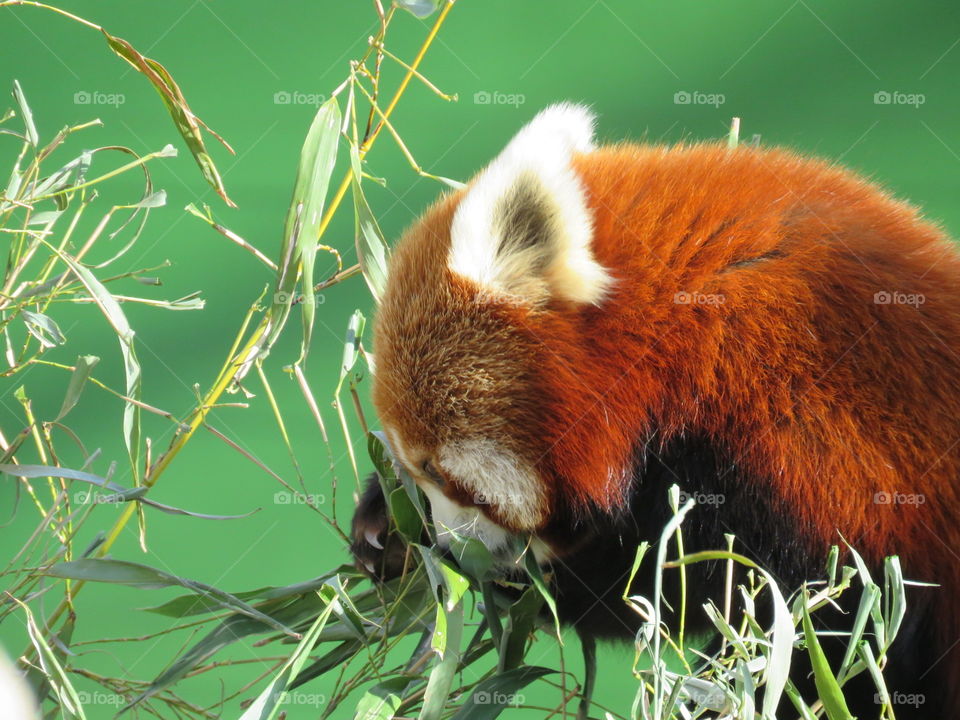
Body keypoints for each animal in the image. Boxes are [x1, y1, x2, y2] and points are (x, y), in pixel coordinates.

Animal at [350, 103, 960, 718]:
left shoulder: (806, 438)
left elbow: (771, 613)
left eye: (435, 469)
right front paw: (385, 525)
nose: (448, 548)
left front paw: (528, 582)